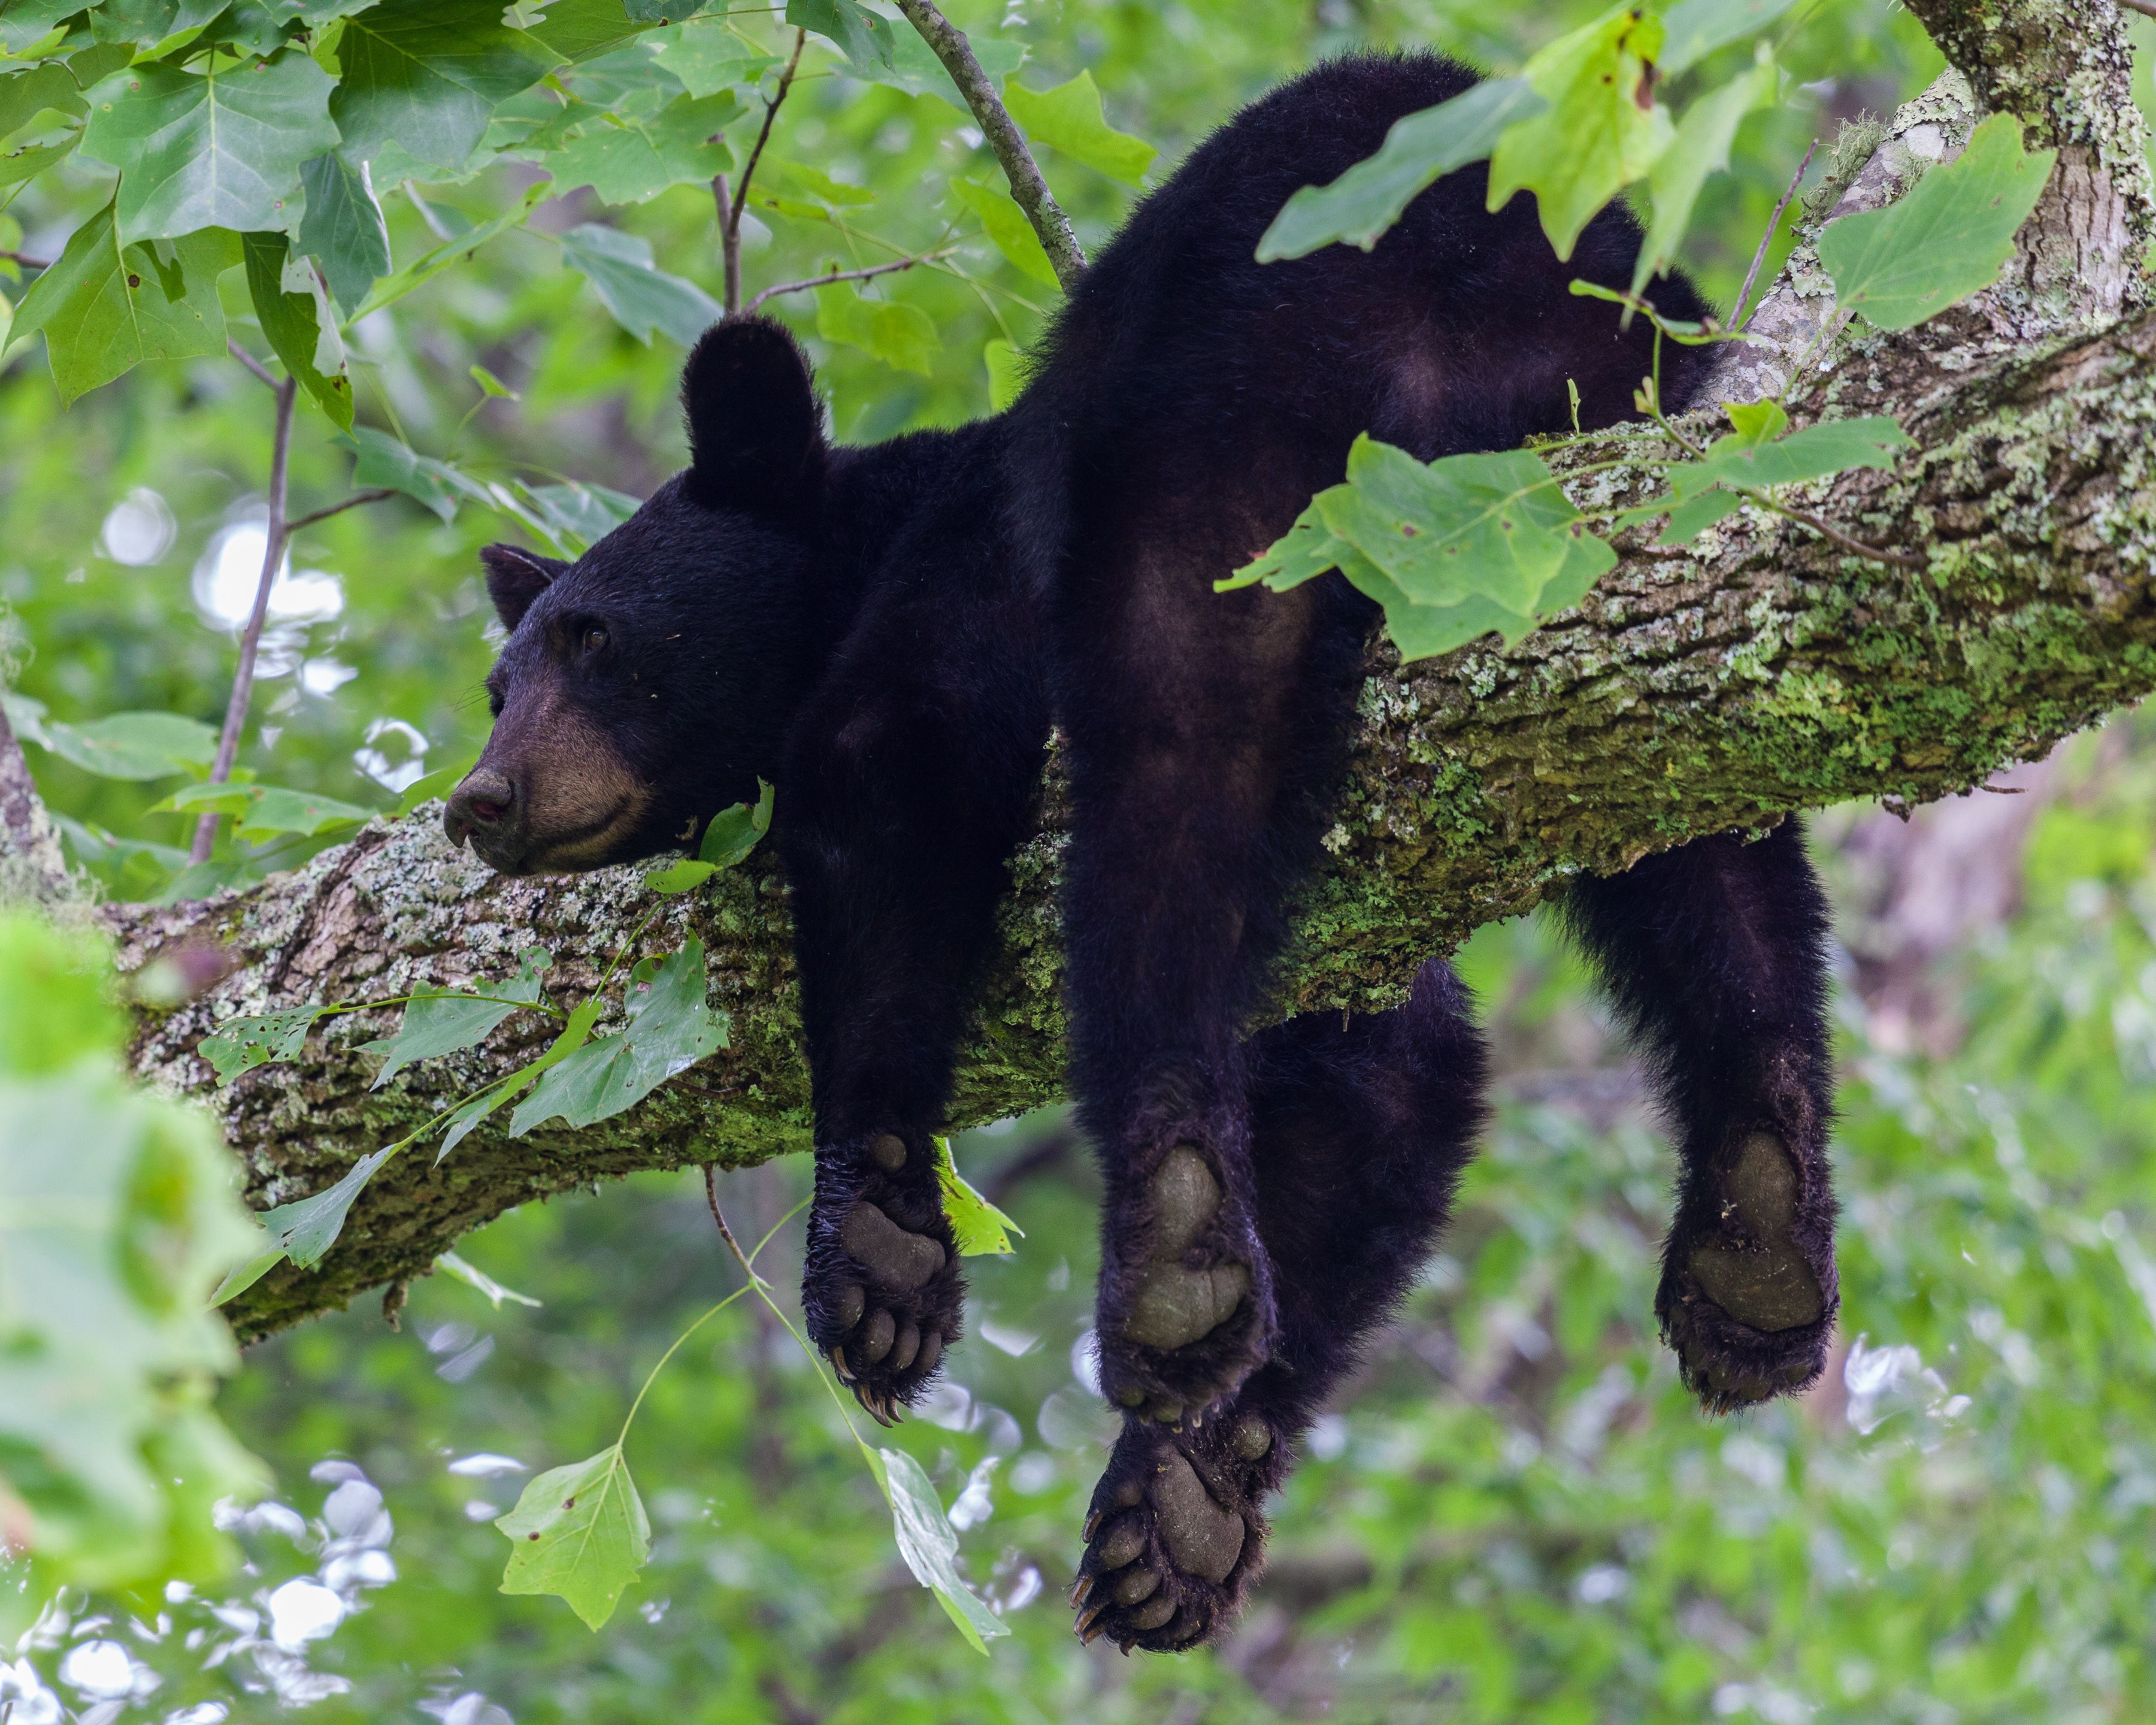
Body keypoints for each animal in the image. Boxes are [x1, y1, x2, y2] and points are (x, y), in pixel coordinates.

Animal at [442, 47, 1837, 1647]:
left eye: (599, 643)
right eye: (499, 682)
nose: (480, 799)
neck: (864, 535)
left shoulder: (971, 563)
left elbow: (887, 764)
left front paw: (880, 1247)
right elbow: (1391, 1075)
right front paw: (1181, 1506)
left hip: (1230, 409)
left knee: (1177, 752)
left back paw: (1167, 1233)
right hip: (1618, 461)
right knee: (1697, 801)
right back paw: (1757, 1221)